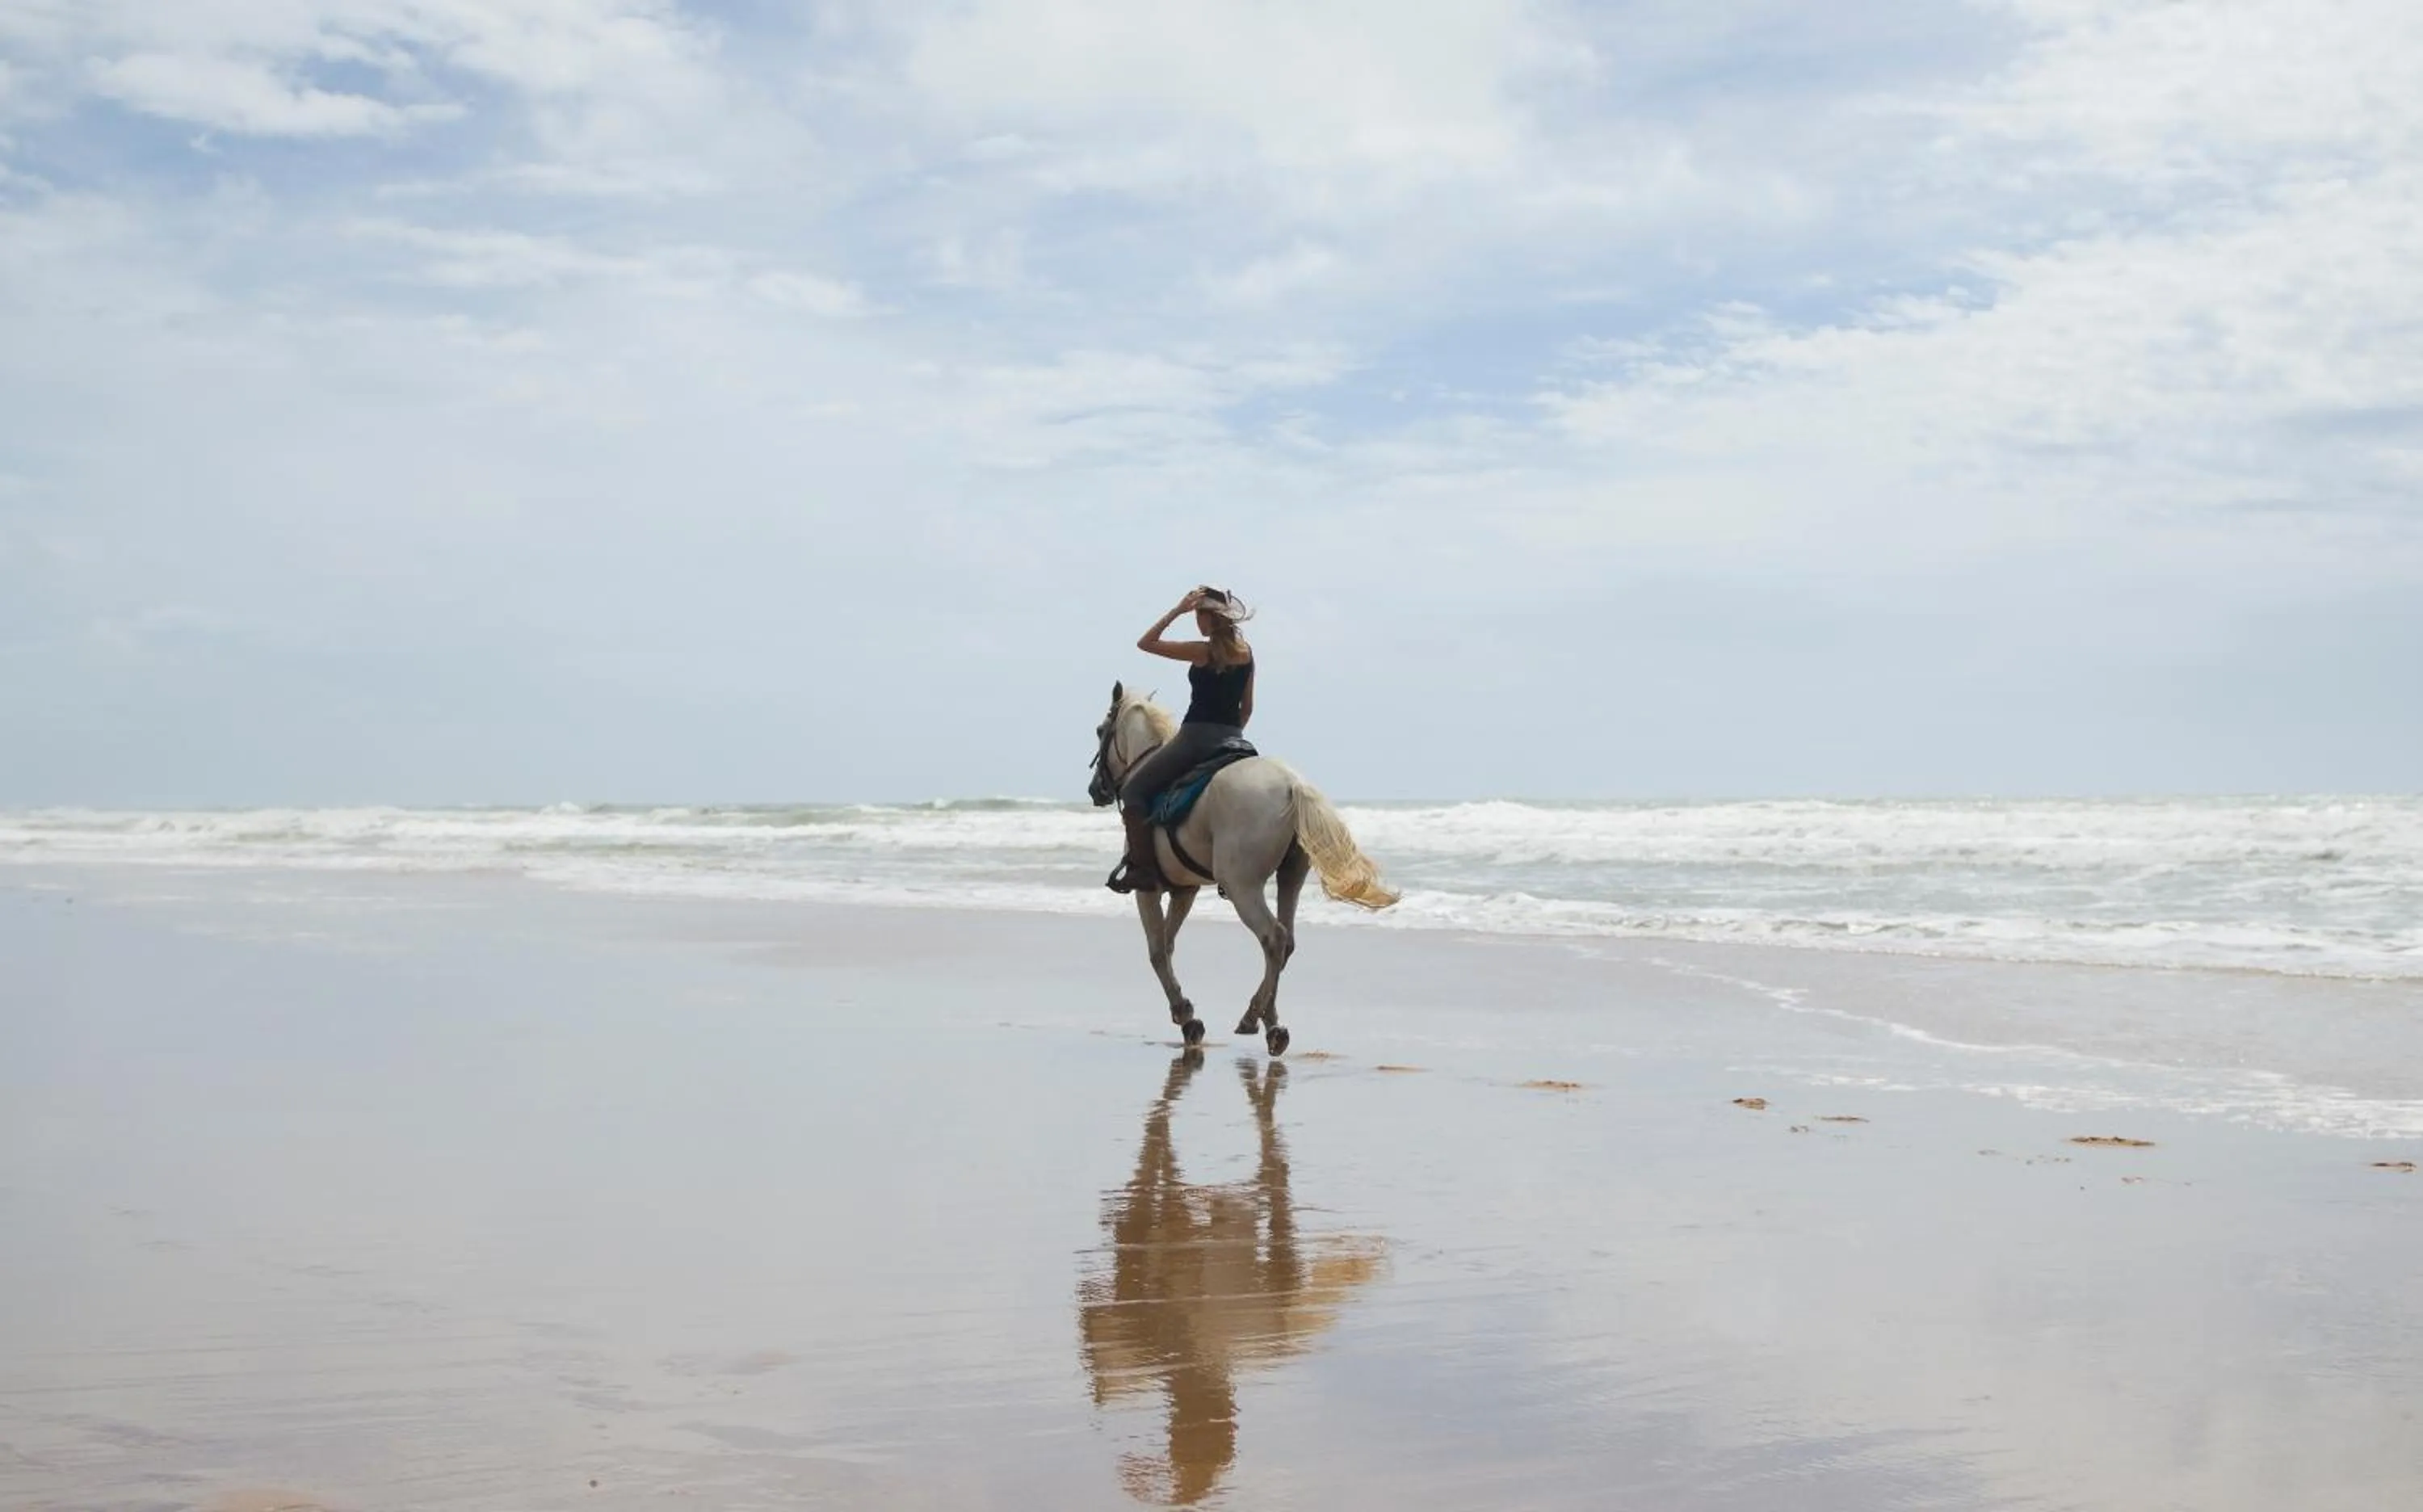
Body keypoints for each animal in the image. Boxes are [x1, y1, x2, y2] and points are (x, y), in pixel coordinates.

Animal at [1088, 681, 1399, 1055]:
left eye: (1100, 730)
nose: (1095, 790)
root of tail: (1291, 785)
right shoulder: (1185, 890)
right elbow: (1168, 943)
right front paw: (1185, 1013)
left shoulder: (1148, 890)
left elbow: (1157, 951)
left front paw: (1185, 1016)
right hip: (1290, 877)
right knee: (1285, 941)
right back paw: (1271, 1023)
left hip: (1241, 886)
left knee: (1273, 936)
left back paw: (1253, 1018)